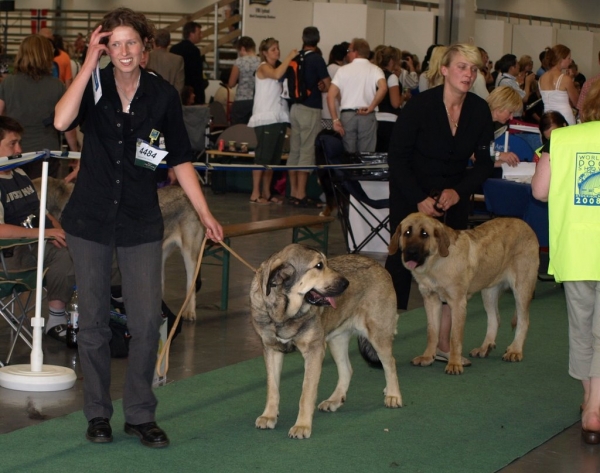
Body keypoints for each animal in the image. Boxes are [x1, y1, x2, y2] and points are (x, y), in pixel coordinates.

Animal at [250, 243, 404, 438]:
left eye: (326, 263)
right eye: (318, 266)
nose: (346, 283)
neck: (284, 313)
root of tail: (378, 265)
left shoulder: (314, 351)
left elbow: (306, 393)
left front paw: (302, 426)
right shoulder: (271, 350)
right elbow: (273, 388)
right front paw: (269, 416)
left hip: (377, 334)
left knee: (390, 363)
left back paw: (393, 395)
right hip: (336, 341)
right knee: (347, 369)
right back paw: (335, 400)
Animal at [390, 212, 540, 374]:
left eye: (424, 234)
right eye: (407, 232)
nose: (410, 253)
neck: (436, 262)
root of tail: (526, 225)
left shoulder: (457, 303)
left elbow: (455, 337)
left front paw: (454, 363)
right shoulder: (431, 300)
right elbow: (432, 332)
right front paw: (428, 357)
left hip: (522, 288)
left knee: (523, 321)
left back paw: (515, 350)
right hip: (489, 290)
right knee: (494, 319)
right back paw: (484, 347)